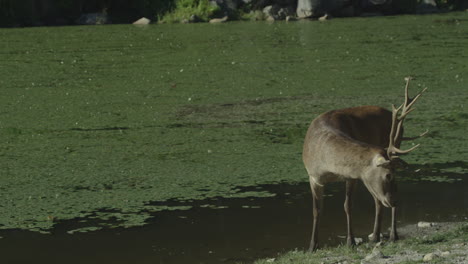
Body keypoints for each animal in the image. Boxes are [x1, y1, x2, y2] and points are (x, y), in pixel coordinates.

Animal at [304, 77, 428, 251]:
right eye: (388, 175)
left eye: (392, 174)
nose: (394, 201)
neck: (329, 166)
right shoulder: (313, 177)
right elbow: (317, 210)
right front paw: (312, 246)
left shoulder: (351, 176)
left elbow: (348, 206)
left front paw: (350, 241)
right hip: (370, 180)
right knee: (377, 200)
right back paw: (375, 235)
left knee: (378, 200)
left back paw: (392, 235)